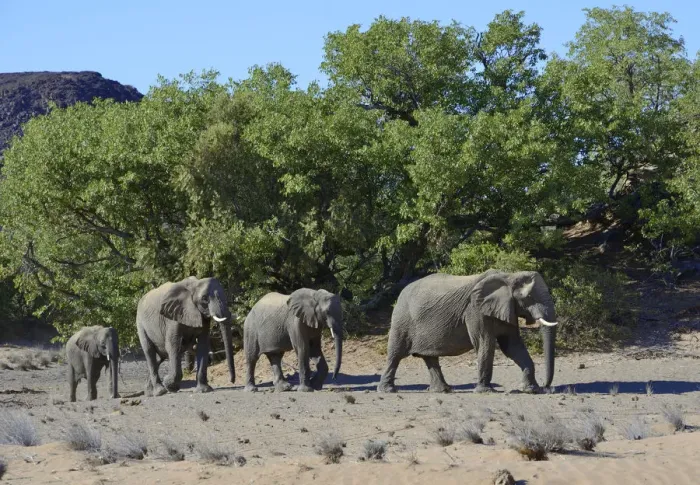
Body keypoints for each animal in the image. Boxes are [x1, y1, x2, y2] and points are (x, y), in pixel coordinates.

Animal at [376, 269, 558, 394]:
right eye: (529, 298)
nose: (546, 387)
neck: (509, 276)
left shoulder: (508, 309)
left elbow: (513, 346)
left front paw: (531, 390)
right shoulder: (475, 310)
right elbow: (485, 343)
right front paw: (485, 392)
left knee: (430, 357)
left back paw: (443, 390)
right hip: (402, 319)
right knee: (395, 355)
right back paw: (388, 390)